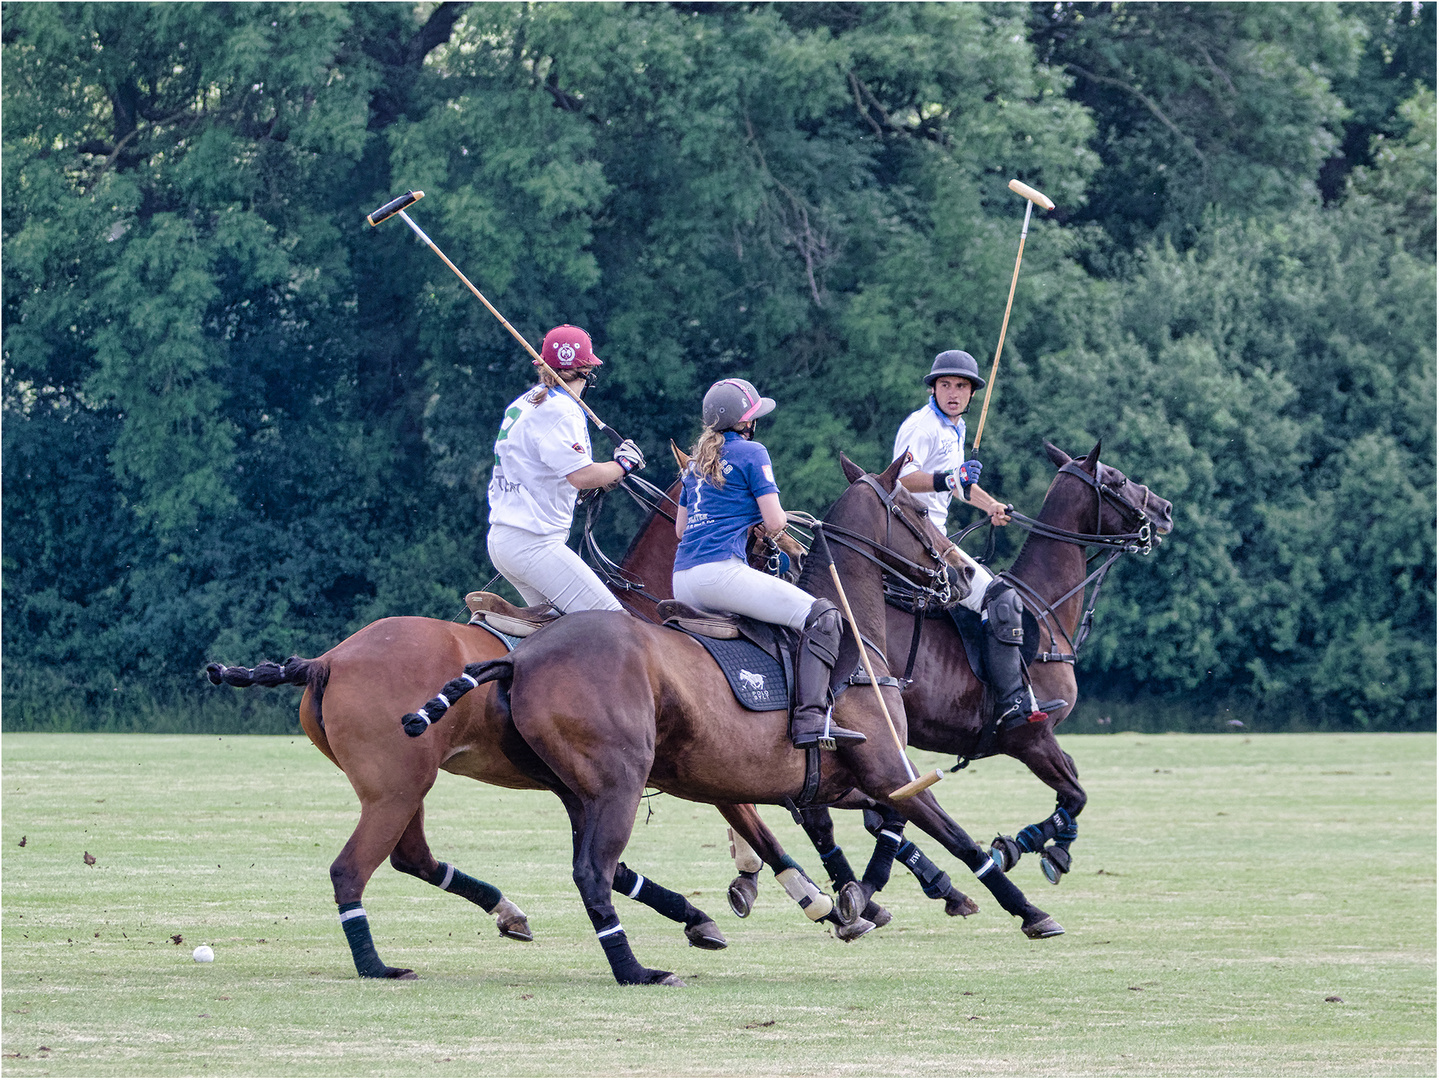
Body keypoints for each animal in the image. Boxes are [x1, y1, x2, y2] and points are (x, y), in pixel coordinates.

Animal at [411, 457, 1064, 989]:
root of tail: (521, 658)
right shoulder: (884, 770)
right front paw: (1029, 911)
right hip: (618, 783)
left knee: (599, 868)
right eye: (916, 511)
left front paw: (848, 899)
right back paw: (638, 969)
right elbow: (954, 834)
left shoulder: (838, 781)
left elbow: (859, 829)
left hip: (577, 790)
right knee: (593, 872)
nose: (963, 575)